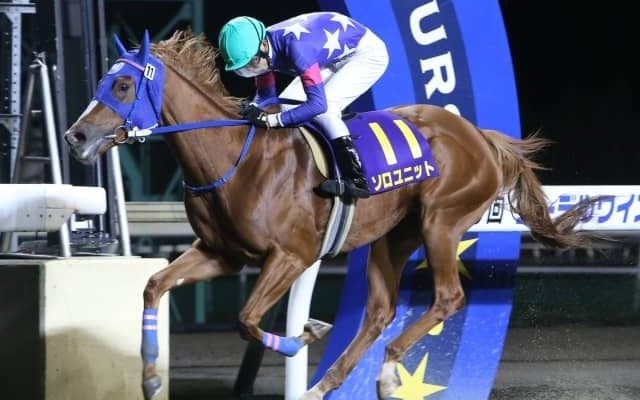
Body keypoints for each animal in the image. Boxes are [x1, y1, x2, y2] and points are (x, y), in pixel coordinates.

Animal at [64, 29, 600, 400]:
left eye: (124, 84)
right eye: (105, 80)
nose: (75, 136)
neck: (235, 158)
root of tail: (480, 137)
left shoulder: (293, 255)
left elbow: (246, 318)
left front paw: (305, 334)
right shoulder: (221, 253)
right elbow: (154, 286)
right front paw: (151, 378)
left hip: (442, 221)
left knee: (448, 297)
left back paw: (385, 369)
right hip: (393, 236)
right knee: (380, 312)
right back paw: (330, 384)